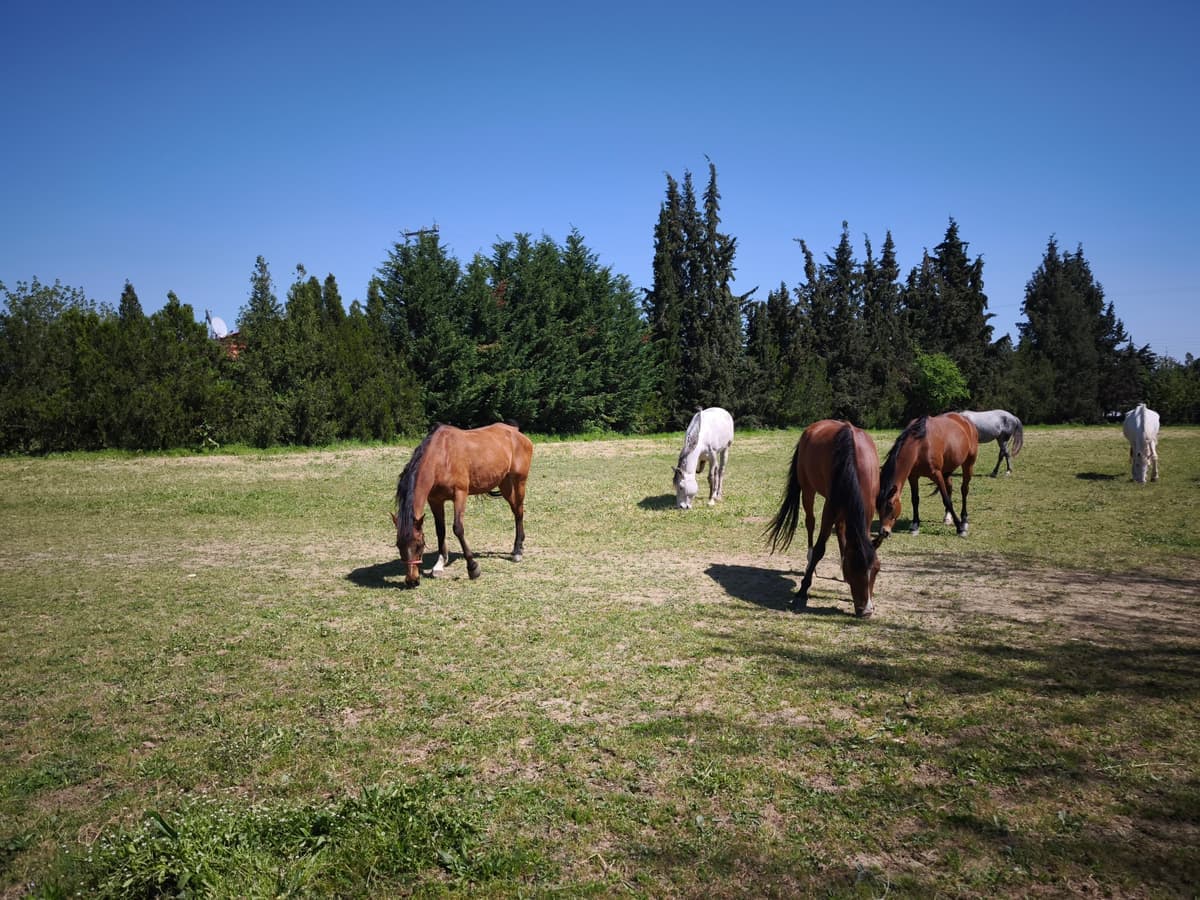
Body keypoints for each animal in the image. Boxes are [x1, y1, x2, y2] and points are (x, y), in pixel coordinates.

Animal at [392, 422, 533, 587]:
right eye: (398, 545)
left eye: (419, 544)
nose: (412, 580)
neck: (442, 457)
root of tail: (516, 432)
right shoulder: (435, 500)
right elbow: (440, 530)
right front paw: (439, 564)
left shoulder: (460, 495)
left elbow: (458, 528)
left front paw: (473, 568)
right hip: (504, 483)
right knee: (516, 510)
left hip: (519, 481)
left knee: (519, 511)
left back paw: (517, 551)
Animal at [765, 420, 881, 617]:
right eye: (855, 568)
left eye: (876, 569)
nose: (866, 611)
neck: (853, 460)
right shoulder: (831, 507)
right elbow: (820, 548)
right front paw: (803, 589)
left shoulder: (868, 507)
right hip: (808, 489)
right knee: (810, 522)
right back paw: (809, 559)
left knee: (840, 528)